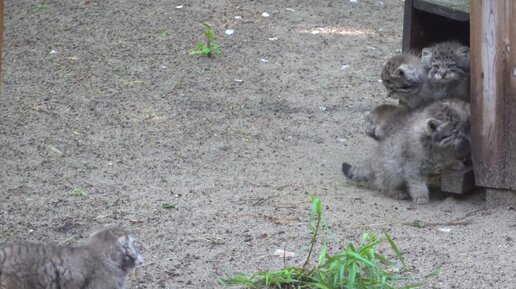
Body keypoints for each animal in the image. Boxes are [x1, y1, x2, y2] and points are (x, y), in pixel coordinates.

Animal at [342, 99, 472, 205]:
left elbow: (447, 158)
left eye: (461, 122)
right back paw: (395, 191)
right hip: (391, 170)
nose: (466, 134)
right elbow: (416, 181)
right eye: (455, 130)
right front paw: (421, 195)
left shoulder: (444, 150)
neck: (434, 144)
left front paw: (454, 163)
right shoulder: (413, 165)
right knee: (386, 183)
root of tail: (372, 165)